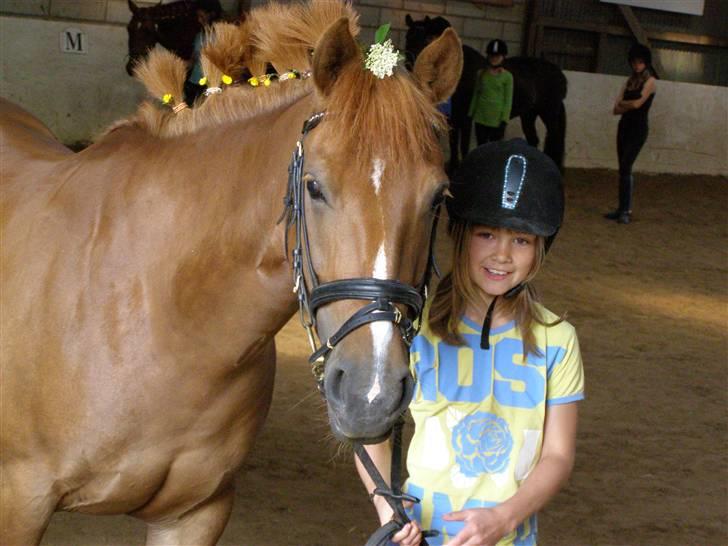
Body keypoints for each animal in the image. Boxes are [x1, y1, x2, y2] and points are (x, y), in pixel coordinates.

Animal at [404, 14, 568, 169]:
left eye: (426, 39)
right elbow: (453, 143)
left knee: (553, 138)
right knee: (533, 139)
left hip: (548, 113)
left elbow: (463, 144)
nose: (410, 65)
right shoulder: (453, 117)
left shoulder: (466, 118)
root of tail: (559, 74)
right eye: (408, 36)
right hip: (529, 114)